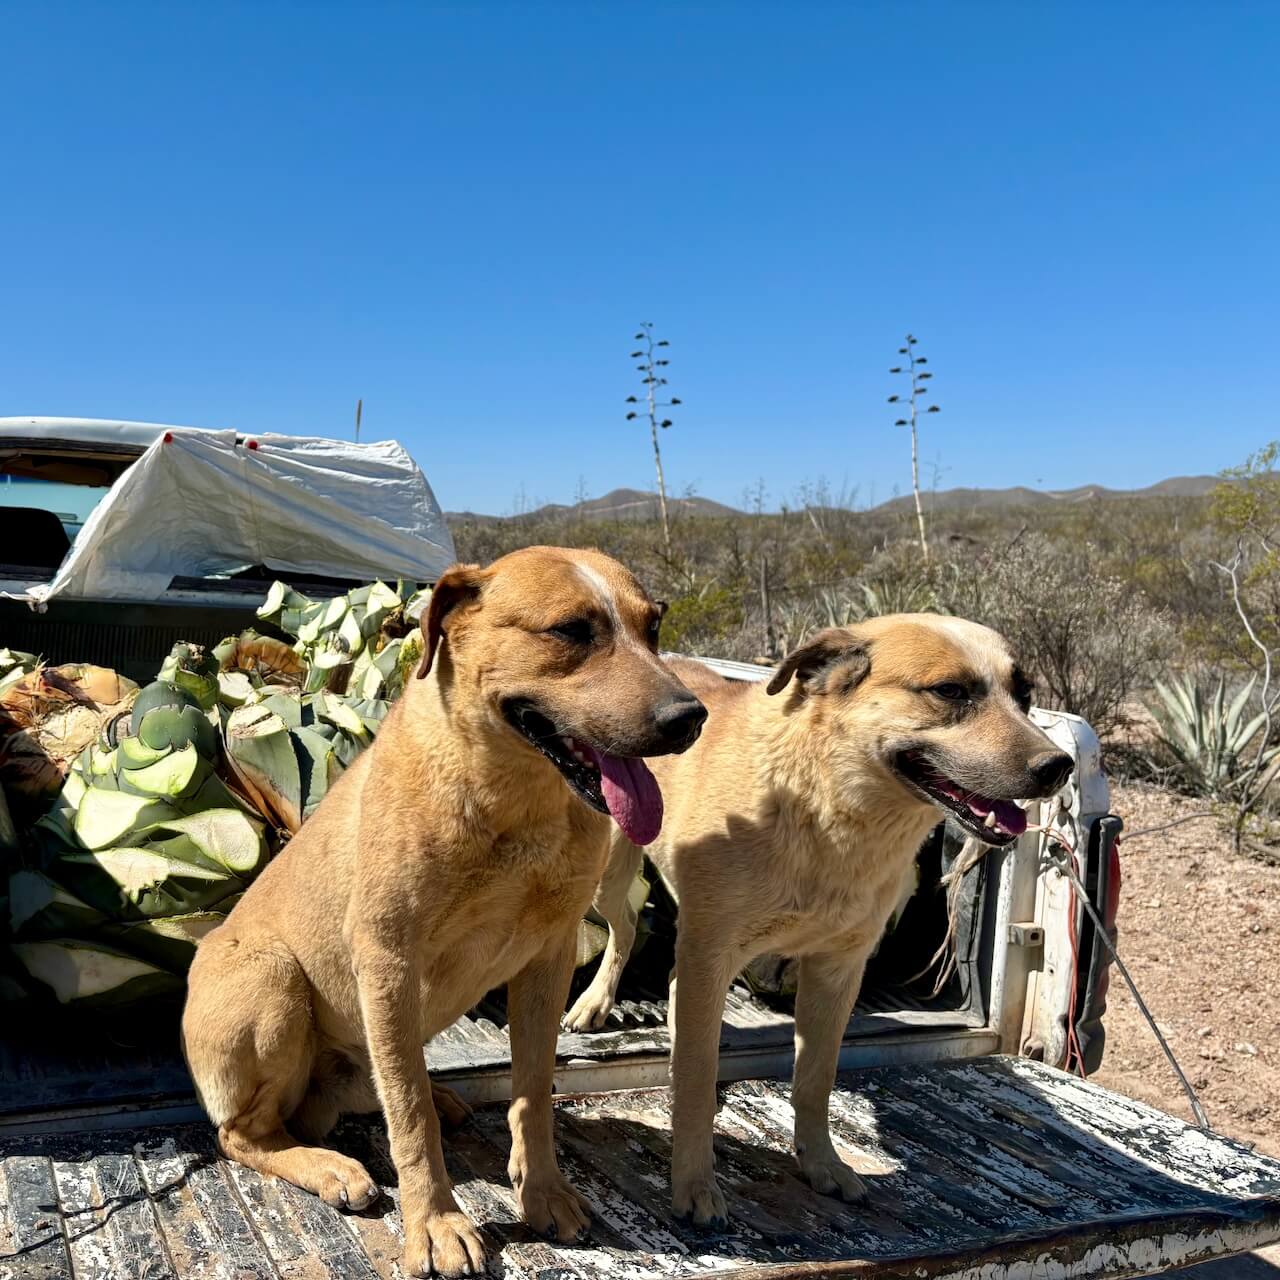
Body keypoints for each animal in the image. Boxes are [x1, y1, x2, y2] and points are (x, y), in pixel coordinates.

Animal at [180, 545, 706, 1274]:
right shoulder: (388, 962)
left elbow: (533, 1091)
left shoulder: (548, 961)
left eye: (654, 627)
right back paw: (329, 1164)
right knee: (243, 1133)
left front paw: (542, 1192)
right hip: (270, 978)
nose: (690, 717)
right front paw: (433, 1223)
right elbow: (409, 1119)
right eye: (571, 631)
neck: (514, 803)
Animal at [565, 614, 1075, 1223]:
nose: (1059, 766)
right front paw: (694, 1183)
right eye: (951, 691)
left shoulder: (836, 973)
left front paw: (821, 1163)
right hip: (609, 878)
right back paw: (594, 1003)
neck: (829, 808)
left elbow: (814, 1080)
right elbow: (694, 1080)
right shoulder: (711, 953)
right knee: (625, 932)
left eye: (1025, 696)